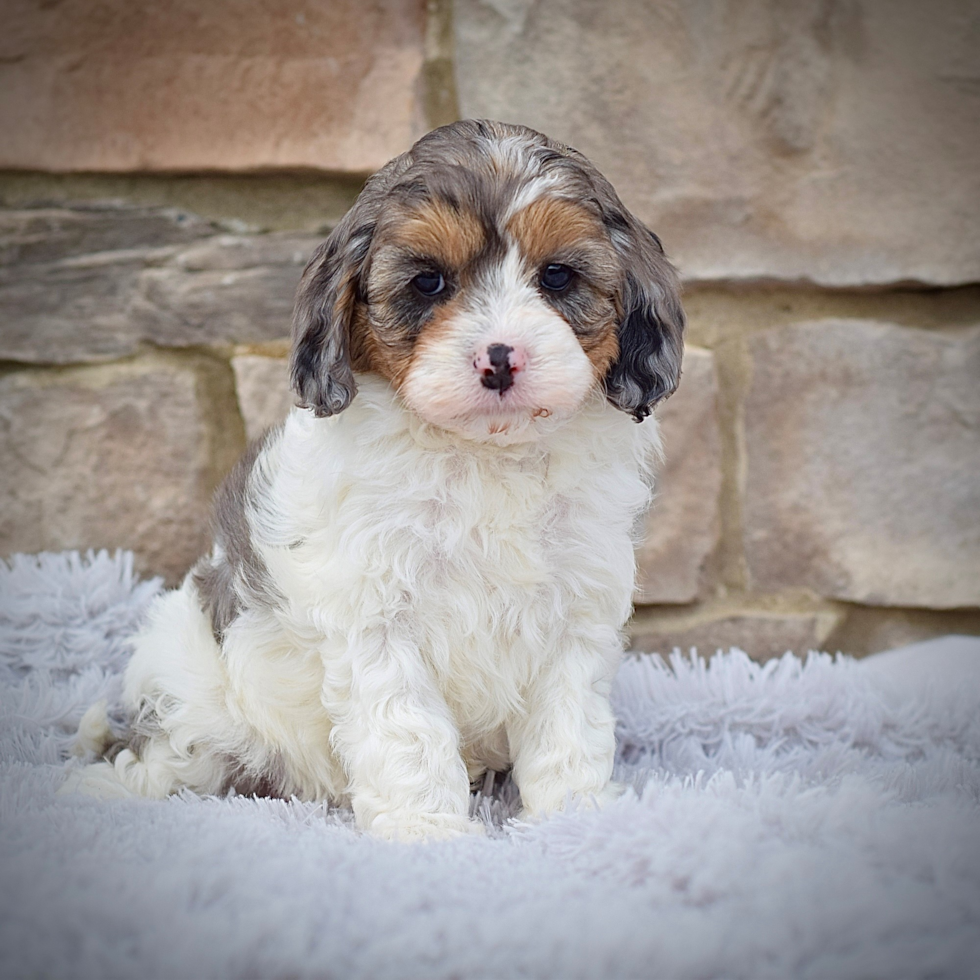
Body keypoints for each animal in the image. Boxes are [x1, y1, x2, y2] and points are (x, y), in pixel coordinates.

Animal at [67, 120, 680, 844]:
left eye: (557, 276)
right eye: (428, 282)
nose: (499, 359)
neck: (482, 455)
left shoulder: (575, 610)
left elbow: (569, 728)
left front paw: (574, 818)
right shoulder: (377, 618)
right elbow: (408, 731)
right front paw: (427, 832)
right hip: (193, 698)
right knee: (164, 757)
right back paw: (105, 788)